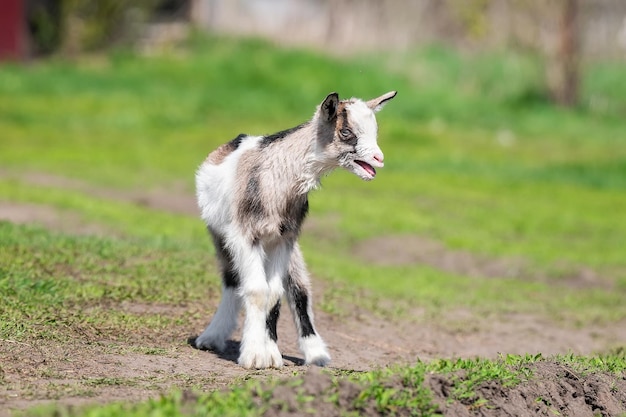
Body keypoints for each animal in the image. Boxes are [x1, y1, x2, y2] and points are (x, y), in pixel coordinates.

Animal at [193, 89, 394, 366]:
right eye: (346, 132)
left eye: (374, 130)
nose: (378, 159)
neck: (277, 179)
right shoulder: (245, 235)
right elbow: (256, 290)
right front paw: (254, 356)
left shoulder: (284, 238)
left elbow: (274, 293)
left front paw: (270, 354)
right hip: (220, 236)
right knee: (232, 281)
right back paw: (212, 337)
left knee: (298, 288)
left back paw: (315, 353)